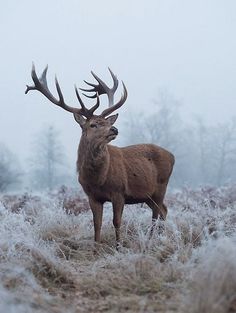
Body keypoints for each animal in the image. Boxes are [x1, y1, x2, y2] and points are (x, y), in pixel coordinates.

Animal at [25, 64, 175, 247]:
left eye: (107, 122)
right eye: (93, 124)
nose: (114, 129)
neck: (98, 179)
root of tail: (172, 156)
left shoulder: (119, 192)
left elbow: (116, 222)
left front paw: (118, 247)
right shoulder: (92, 196)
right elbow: (97, 224)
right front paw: (96, 247)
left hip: (161, 186)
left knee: (157, 213)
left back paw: (151, 240)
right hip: (148, 194)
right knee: (163, 210)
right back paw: (158, 238)